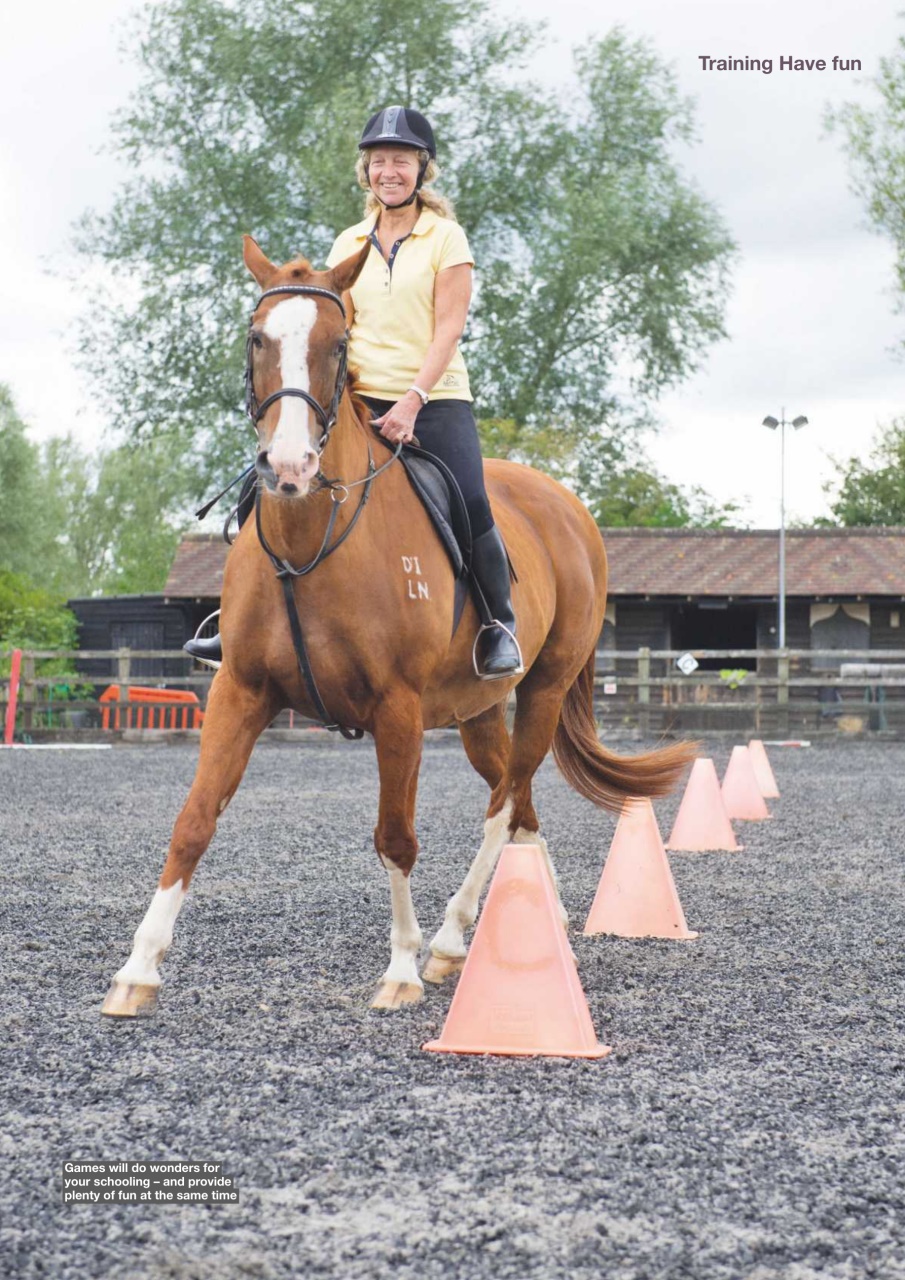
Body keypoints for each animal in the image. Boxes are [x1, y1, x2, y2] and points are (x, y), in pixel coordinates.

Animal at [101, 236, 697, 1017]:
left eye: (337, 343)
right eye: (257, 338)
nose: (288, 466)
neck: (311, 541)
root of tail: (564, 505)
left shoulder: (398, 710)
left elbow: (395, 837)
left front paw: (403, 966)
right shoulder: (240, 692)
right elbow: (193, 821)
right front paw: (137, 970)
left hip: (540, 687)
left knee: (506, 801)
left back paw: (449, 939)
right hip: (477, 711)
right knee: (519, 797)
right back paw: (538, 919)